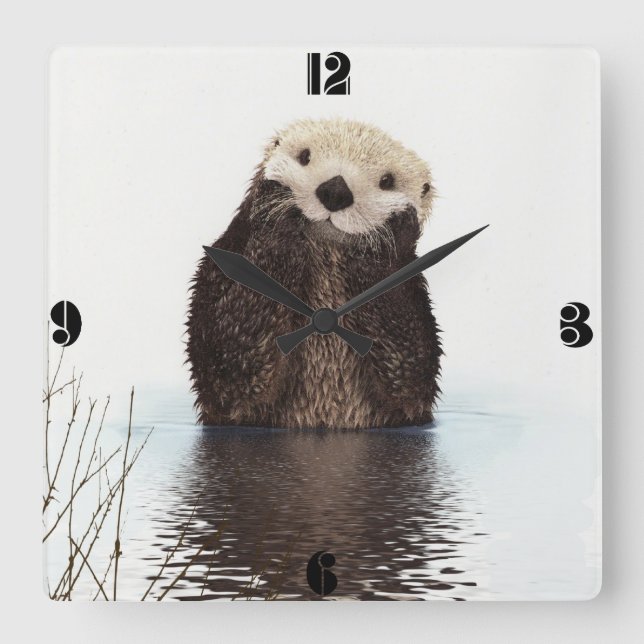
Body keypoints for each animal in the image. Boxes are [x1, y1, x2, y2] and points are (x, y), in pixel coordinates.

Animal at [187, 118, 441, 429]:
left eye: (387, 181)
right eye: (304, 156)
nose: (336, 190)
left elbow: (410, 374)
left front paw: (385, 238)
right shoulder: (218, 272)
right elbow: (231, 367)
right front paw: (277, 211)